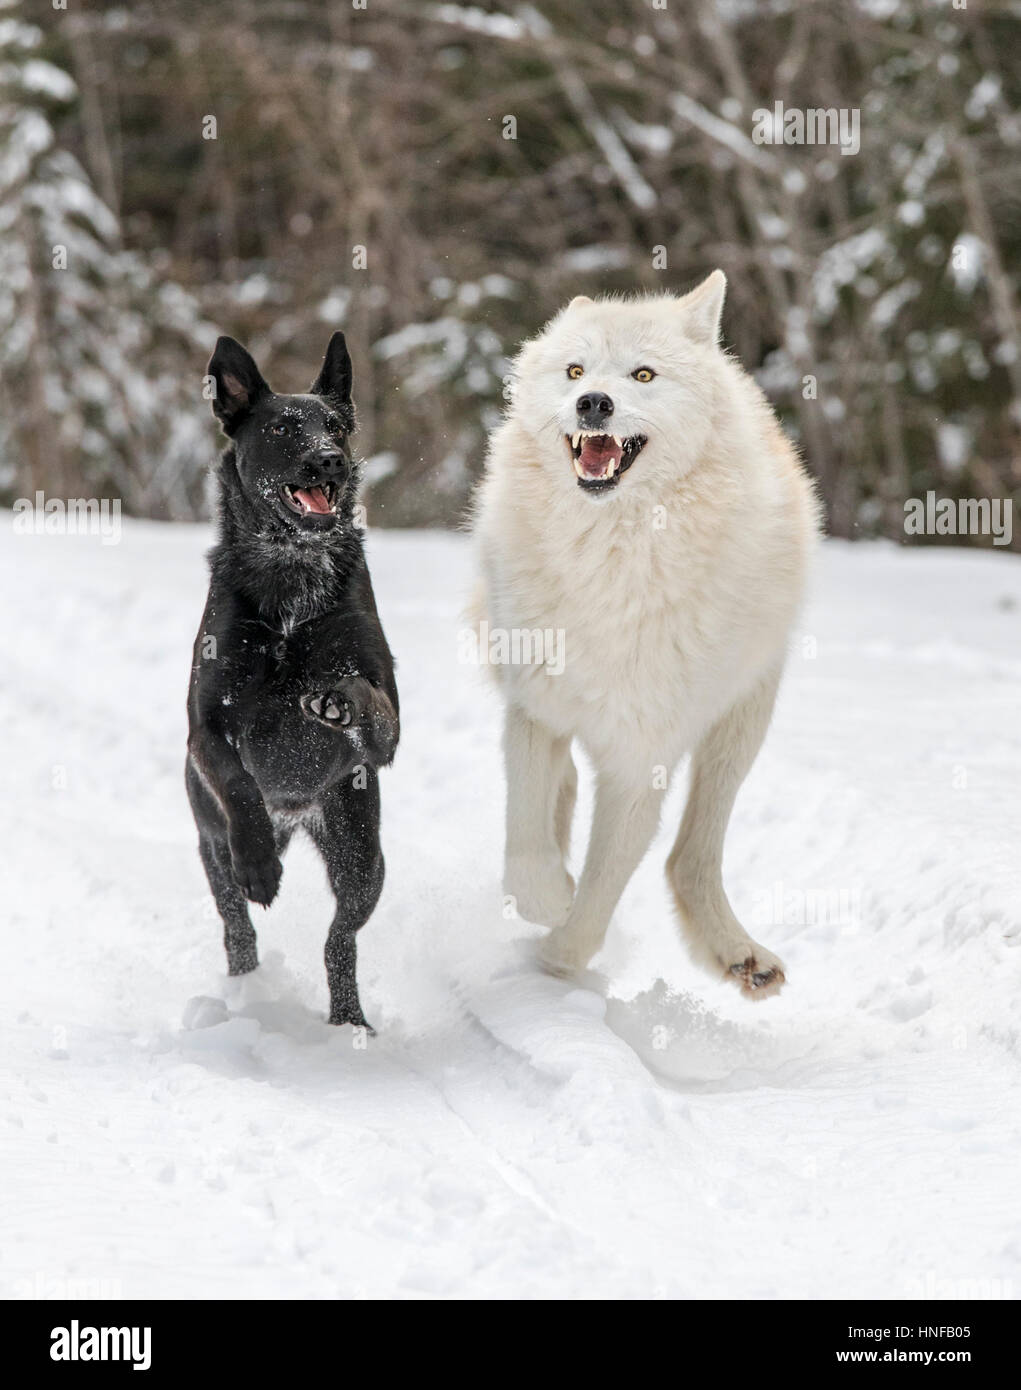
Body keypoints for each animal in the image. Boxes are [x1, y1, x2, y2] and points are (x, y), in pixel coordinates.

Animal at [187, 330, 400, 1028]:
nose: (329, 460)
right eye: (282, 427)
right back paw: (246, 985)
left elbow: (372, 706)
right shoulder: (205, 727)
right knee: (237, 927)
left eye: (336, 426)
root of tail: (294, 811)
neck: (290, 576)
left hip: (361, 851)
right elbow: (236, 777)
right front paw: (259, 864)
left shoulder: (389, 721)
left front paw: (335, 704)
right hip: (210, 847)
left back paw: (349, 1022)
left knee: (341, 939)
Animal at [472, 271, 822, 995]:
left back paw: (738, 954)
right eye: (575, 371)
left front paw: (557, 964)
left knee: (689, 855)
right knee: (567, 793)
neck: (610, 557)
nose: (593, 403)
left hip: (739, 732)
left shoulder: (643, 754)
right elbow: (524, 840)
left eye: (642, 374)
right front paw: (546, 897)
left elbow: (602, 891)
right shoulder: (535, 705)